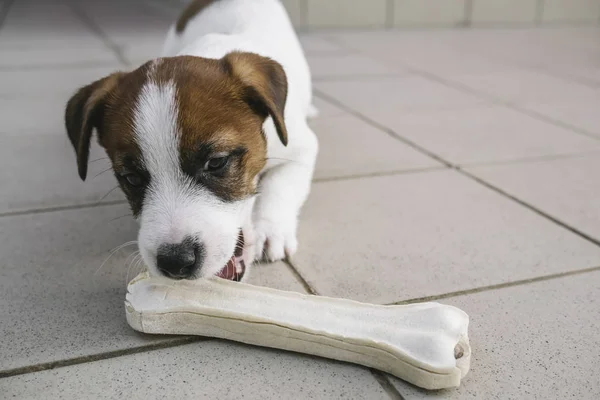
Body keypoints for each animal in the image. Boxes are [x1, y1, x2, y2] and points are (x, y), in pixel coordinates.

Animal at [64, 0, 318, 282]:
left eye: (217, 162)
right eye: (131, 178)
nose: (175, 262)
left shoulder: (300, 149)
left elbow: (281, 186)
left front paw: (271, 230)